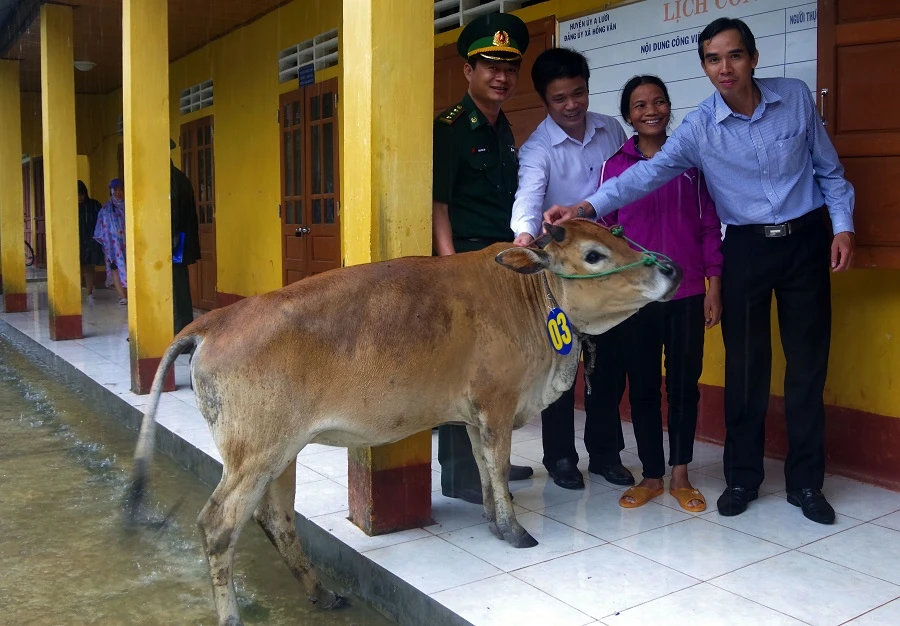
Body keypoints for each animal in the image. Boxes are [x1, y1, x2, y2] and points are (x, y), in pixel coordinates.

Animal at [128, 219, 684, 624]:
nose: (672, 270)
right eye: (593, 255)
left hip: (280, 454)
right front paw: (514, 530)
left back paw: (323, 595)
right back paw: (233, 616)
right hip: (254, 456)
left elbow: (487, 471)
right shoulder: (497, 406)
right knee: (218, 525)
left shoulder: (476, 415)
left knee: (277, 519)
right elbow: (498, 468)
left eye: (619, 234)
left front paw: (493, 521)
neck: (527, 299)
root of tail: (215, 320)